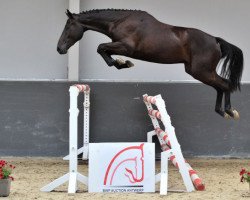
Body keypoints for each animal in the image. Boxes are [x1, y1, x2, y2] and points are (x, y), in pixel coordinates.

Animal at [57, 9, 243, 119]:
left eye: (68, 26)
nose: (59, 48)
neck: (119, 21)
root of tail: (216, 40)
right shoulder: (119, 46)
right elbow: (104, 51)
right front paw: (121, 63)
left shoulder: (126, 47)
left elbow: (100, 48)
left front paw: (123, 63)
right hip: (198, 71)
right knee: (221, 86)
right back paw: (222, 111)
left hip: (201, 72)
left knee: (225, 84)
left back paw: (229, 111)